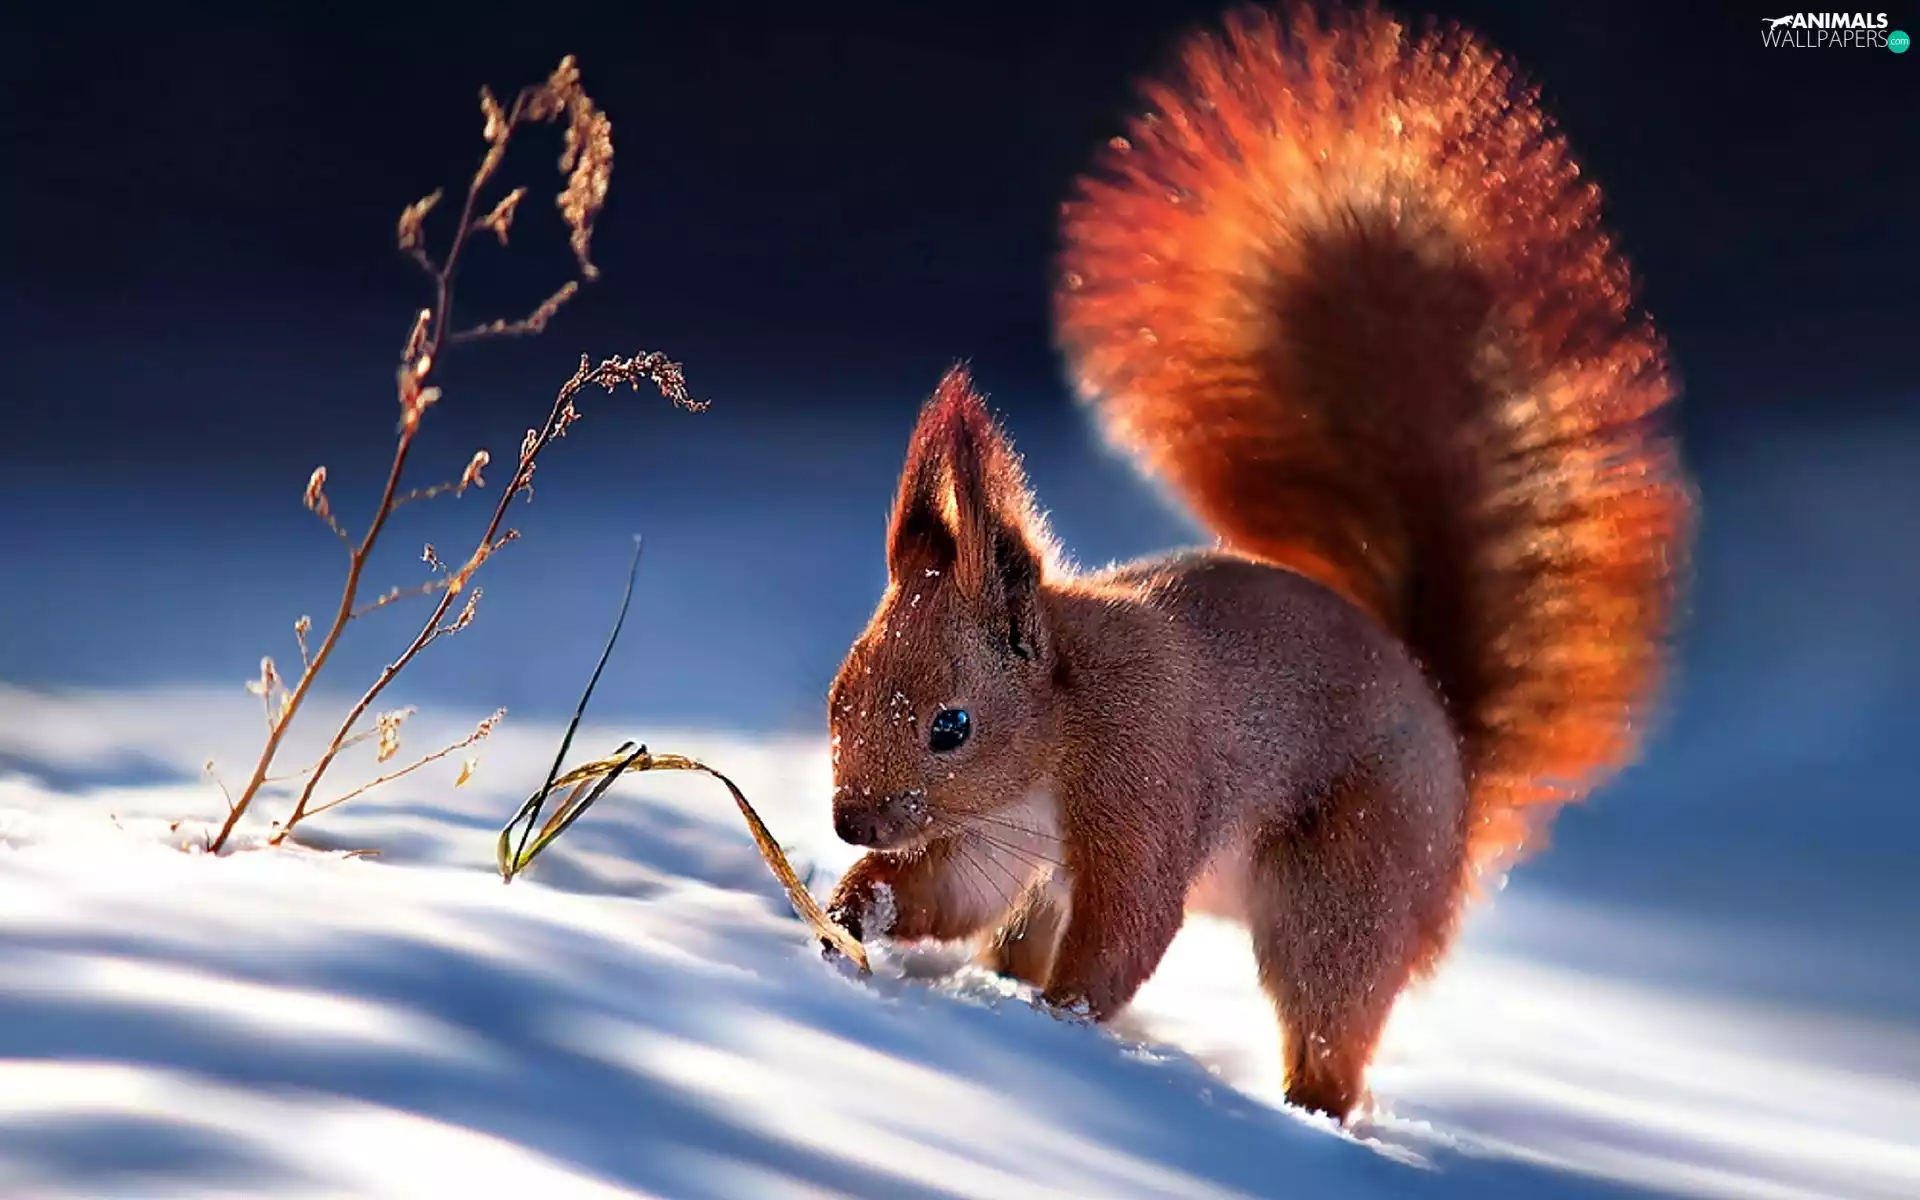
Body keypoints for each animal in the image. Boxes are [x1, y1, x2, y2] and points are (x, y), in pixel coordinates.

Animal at [822, 2, 1691, 1122]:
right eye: (839, 699)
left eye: (951, 727)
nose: (849, 820)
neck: (1061, 723)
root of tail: (1452, 753)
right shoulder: (998, 838)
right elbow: (949, 891)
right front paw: (851, 911)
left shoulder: (1143, 782)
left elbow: (1128, 931)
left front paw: (1058, 1030)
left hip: (1349, 889)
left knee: (1330, 1016)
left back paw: (1309, 1108)